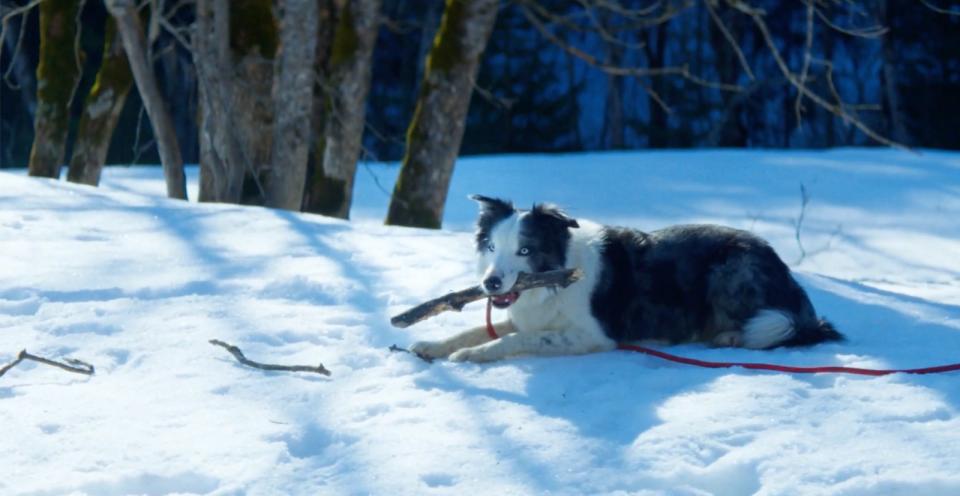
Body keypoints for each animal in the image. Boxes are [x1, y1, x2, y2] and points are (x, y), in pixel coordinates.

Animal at [408, 196, 844, 362]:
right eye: (490, 246)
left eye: (526, 251)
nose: (492, 285)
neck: (555, 282)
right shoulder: (526, 315)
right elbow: (476, 330)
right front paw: (433, 346)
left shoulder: (593, 336)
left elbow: (518, 339)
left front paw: (473, 356)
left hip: (730, 267)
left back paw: (729, 337)